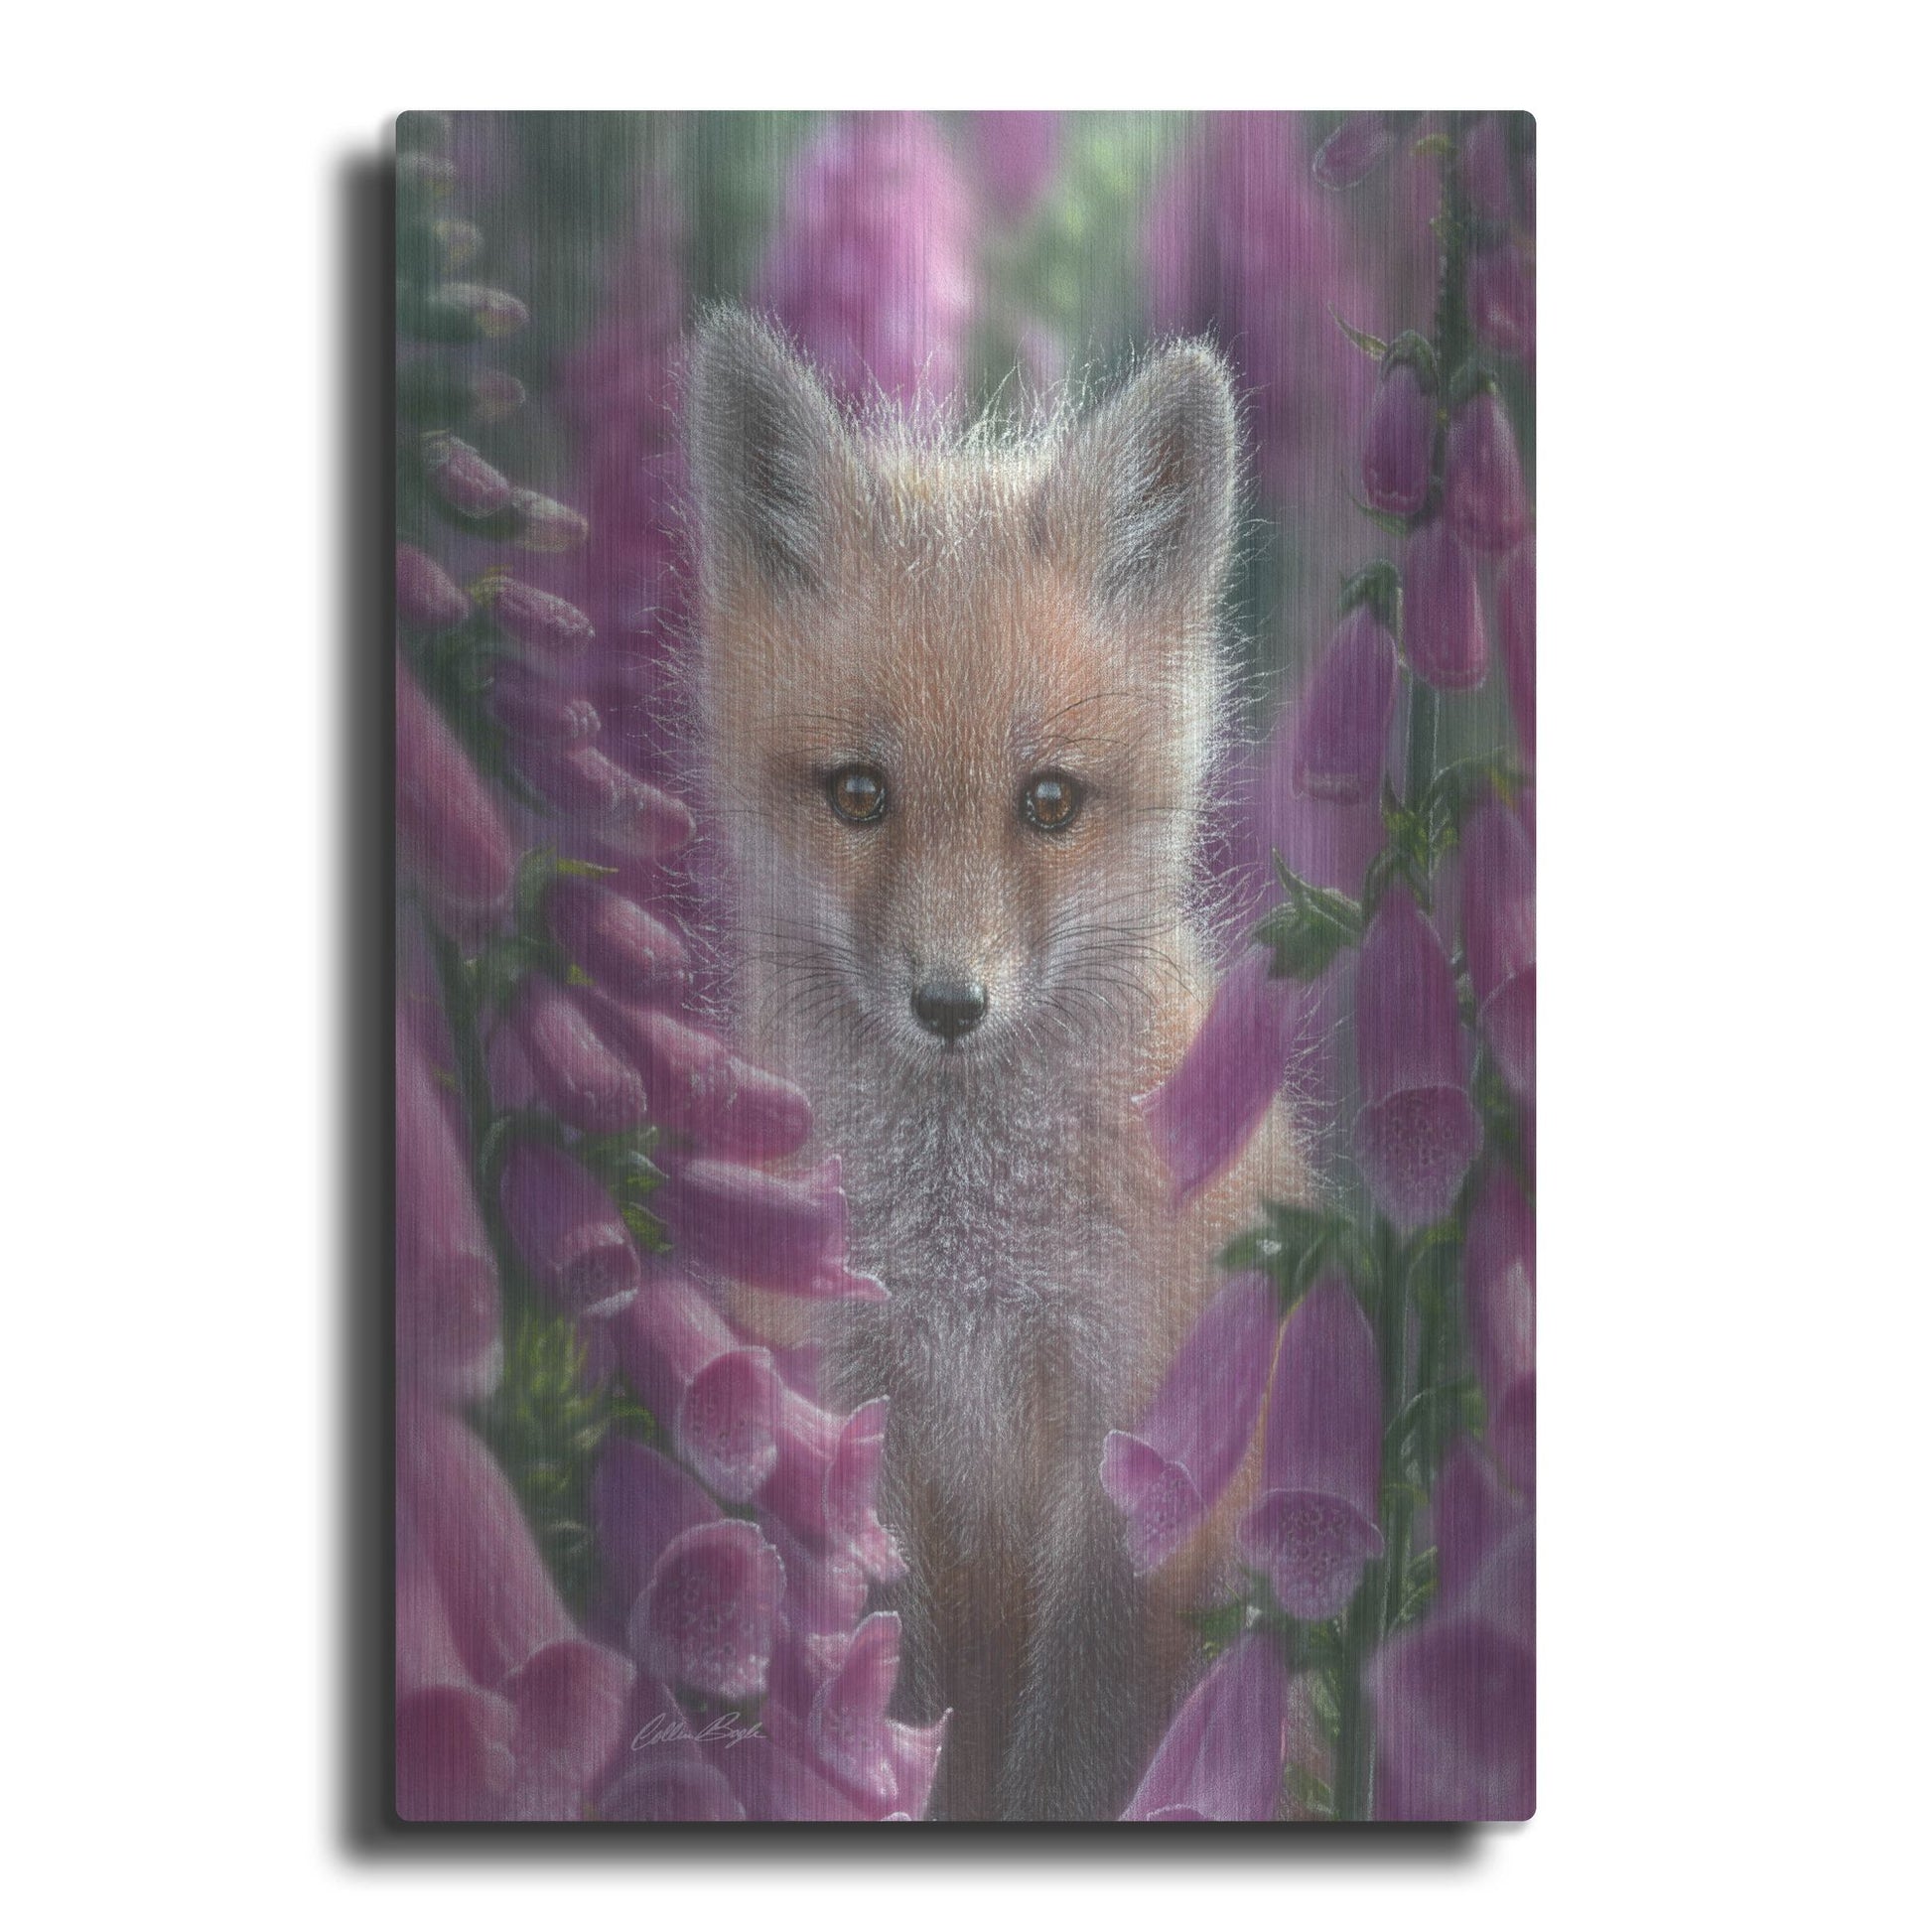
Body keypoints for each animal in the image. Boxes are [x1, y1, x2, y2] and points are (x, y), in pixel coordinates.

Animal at [683, 310, 1307, 1821]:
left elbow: (1076, 1744)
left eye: (1050, 802)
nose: (949, 1004)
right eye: (859, 793)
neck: (965, 1270)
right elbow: (883, 1689)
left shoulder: (1131, 1454)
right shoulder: (846, 1420)